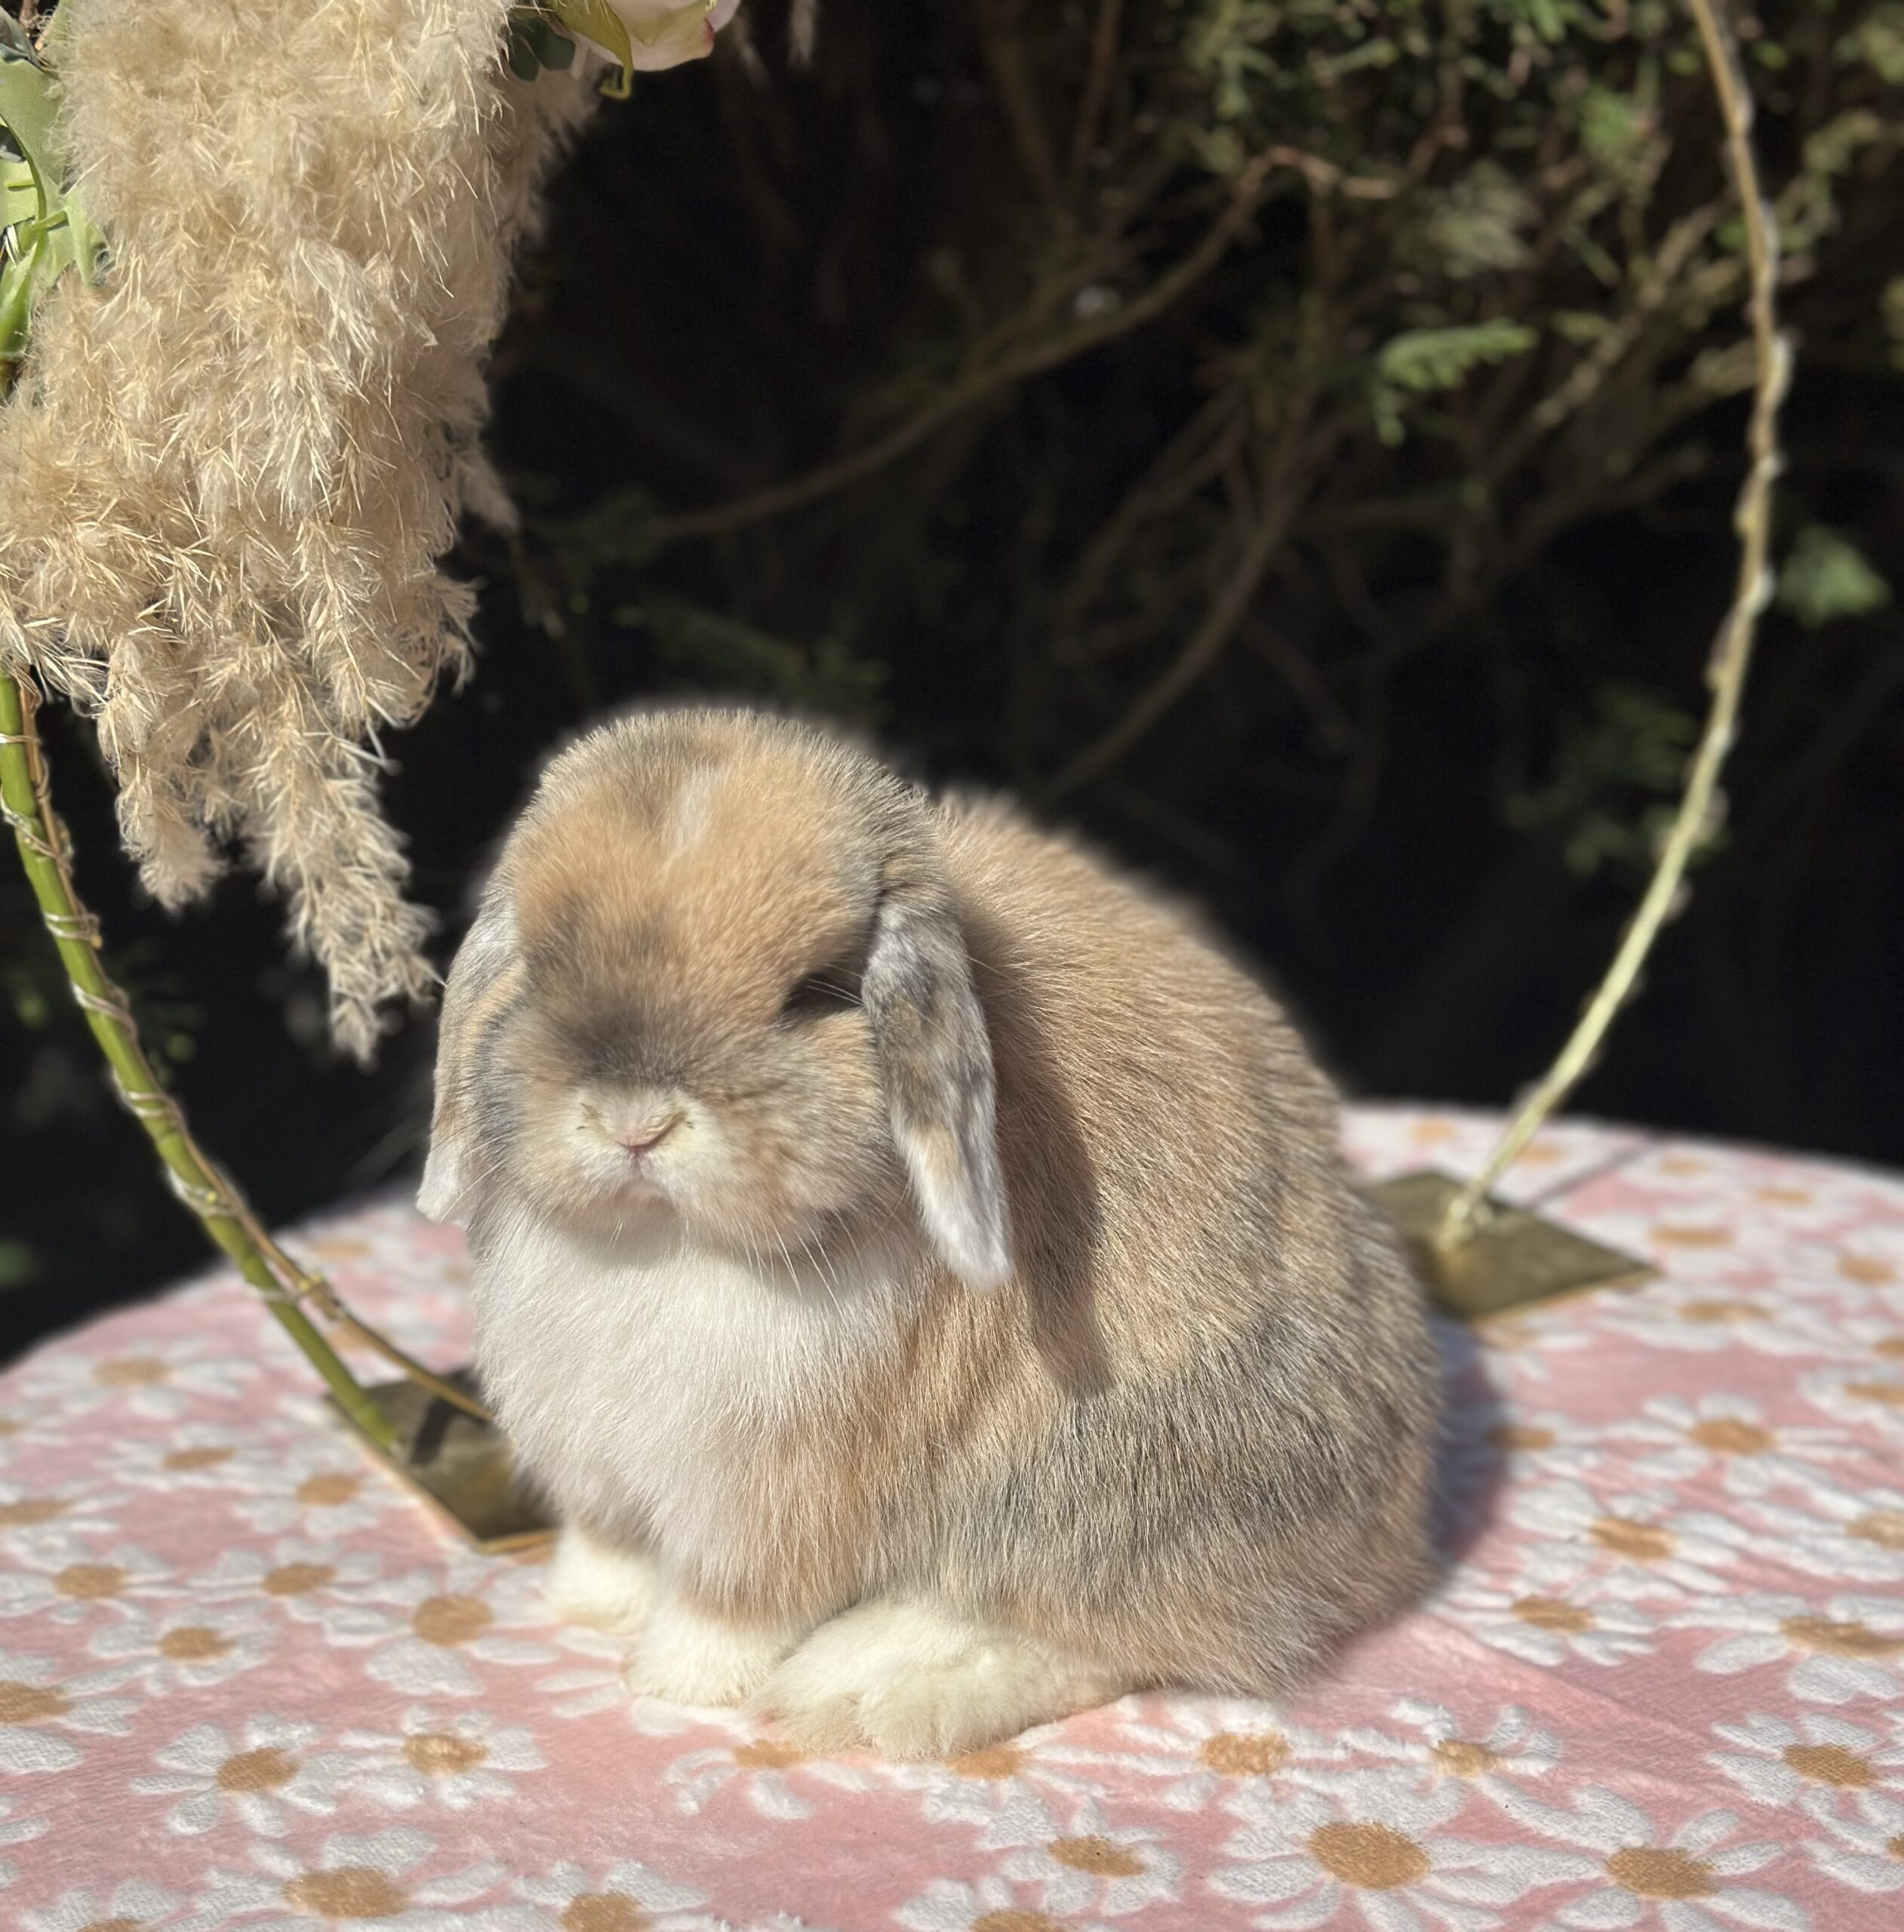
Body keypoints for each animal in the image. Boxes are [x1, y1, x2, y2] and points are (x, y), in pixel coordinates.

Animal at [419, 703, 1440, 1758]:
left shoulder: (769, 1501)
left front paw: (676, 1684)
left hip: (1087, 1498)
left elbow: (731, 1607)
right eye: (541, 969)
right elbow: (609, 1543)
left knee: (1110, 1631)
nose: (634, 1121)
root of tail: (1390, 1536)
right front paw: (586, 1606)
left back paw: (869, 1685)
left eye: (815, 992)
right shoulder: (599, 1465)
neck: (665, 1241)